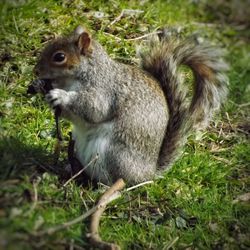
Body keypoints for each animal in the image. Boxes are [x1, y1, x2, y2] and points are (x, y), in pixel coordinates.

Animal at [33, 25, 229, 186]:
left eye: (60, 57)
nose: (36, 71)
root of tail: (148, 173)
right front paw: (43, 89)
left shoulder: (104, 89)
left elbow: (94, 109)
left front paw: (61, 96)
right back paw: (70, 169)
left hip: (113, 155)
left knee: (117, 180)